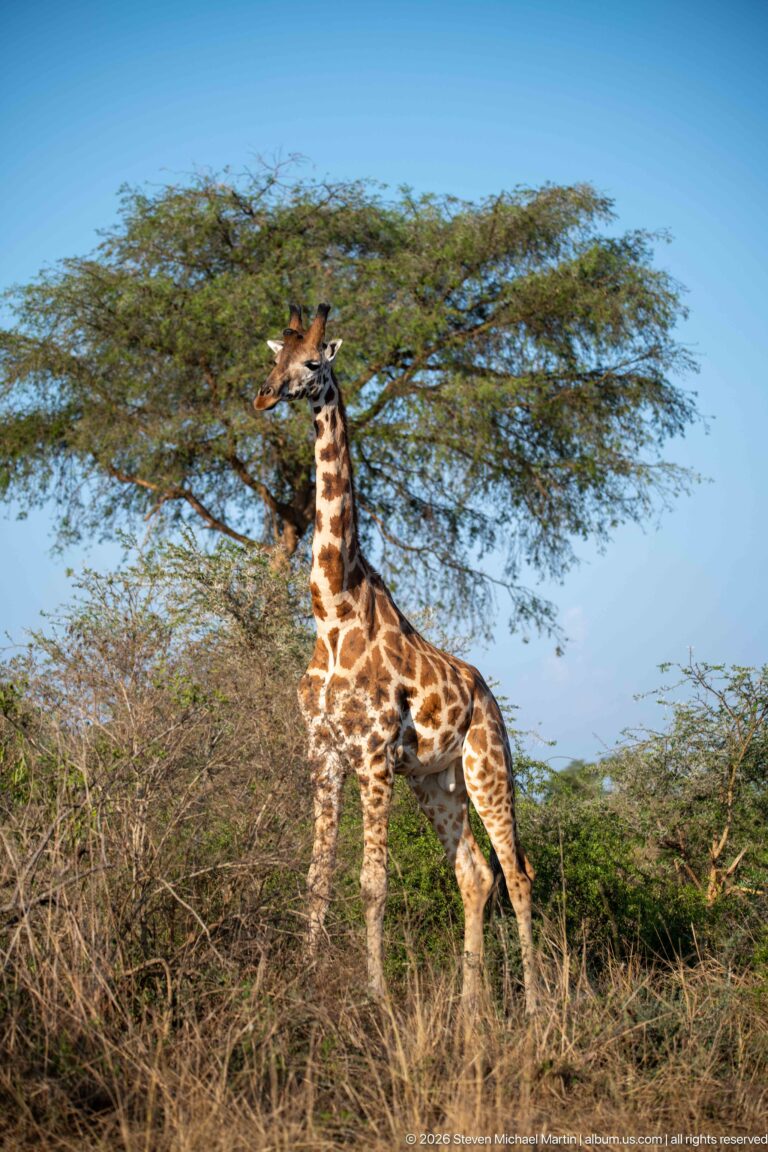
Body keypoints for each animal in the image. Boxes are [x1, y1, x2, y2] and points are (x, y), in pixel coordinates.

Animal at [254, 303, 538, 1013]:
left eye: (312, 363)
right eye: (273, 358)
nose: (264, 396)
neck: (332, 609)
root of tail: (488, 696)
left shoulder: (374, 755)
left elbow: (372, 881)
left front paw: (375, 995)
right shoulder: (324, 753)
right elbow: (318, 876)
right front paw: (307, 982)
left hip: (488, 769)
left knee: (517, 871)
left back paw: (540, 1004)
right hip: (437, 781)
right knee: (475, 874)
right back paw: (471, 1007)